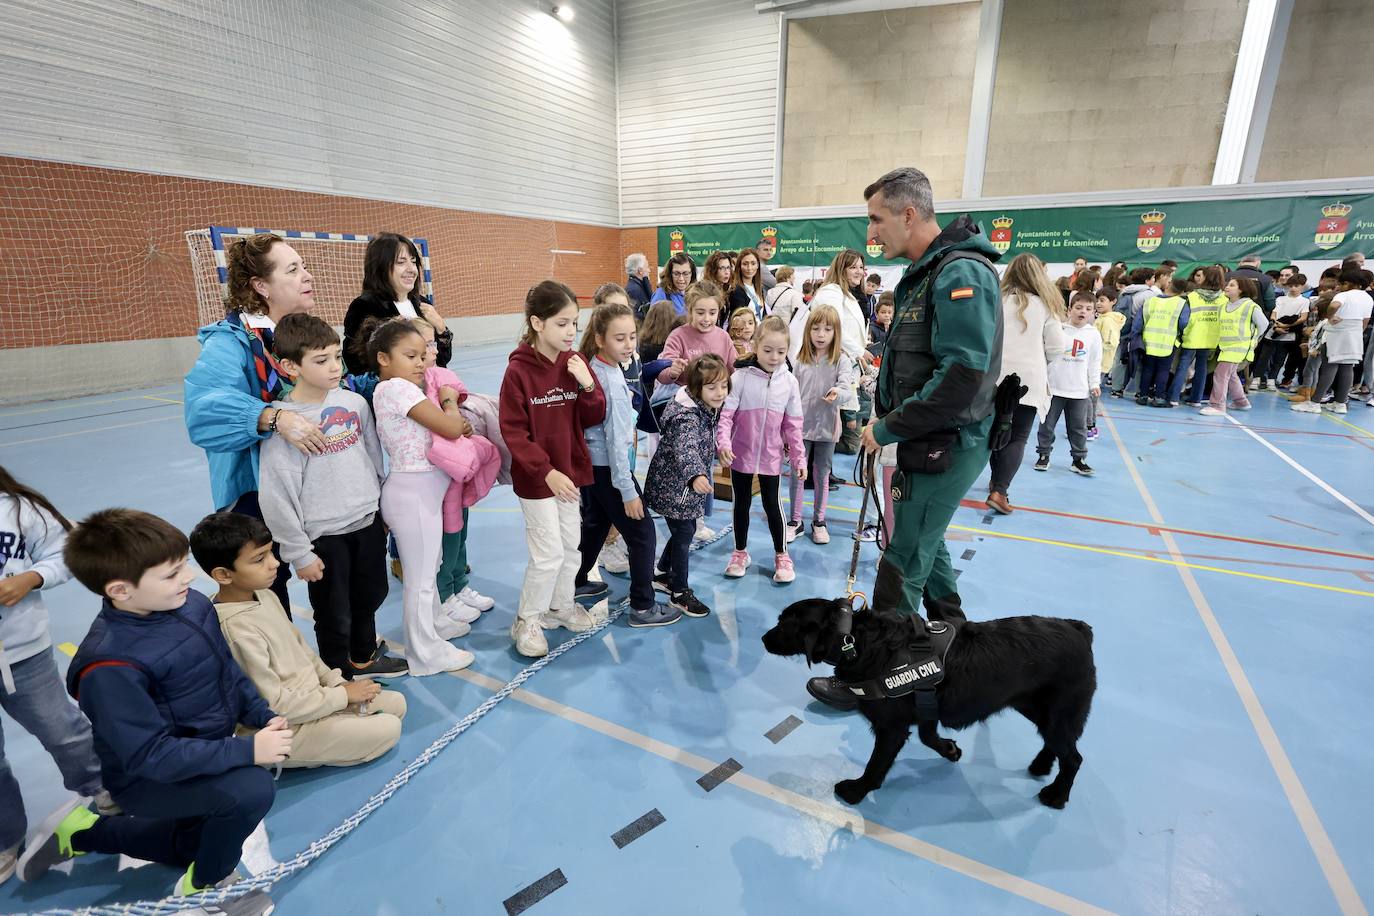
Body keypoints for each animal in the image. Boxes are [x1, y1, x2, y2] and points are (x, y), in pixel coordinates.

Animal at [763, 601, 1093, 807]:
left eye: (783, 624)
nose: (764, 638)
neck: (855, 641)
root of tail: (1080, 629)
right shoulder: (927, 705)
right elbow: (928, 736)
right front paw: (949, 749)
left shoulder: (892, 728)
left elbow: (875, 765)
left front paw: (857, 790)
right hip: (1037, 707)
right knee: (1057, 744)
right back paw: (1041, 765)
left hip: (1060, 711)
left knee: (1074, 758)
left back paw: (1056, 795)